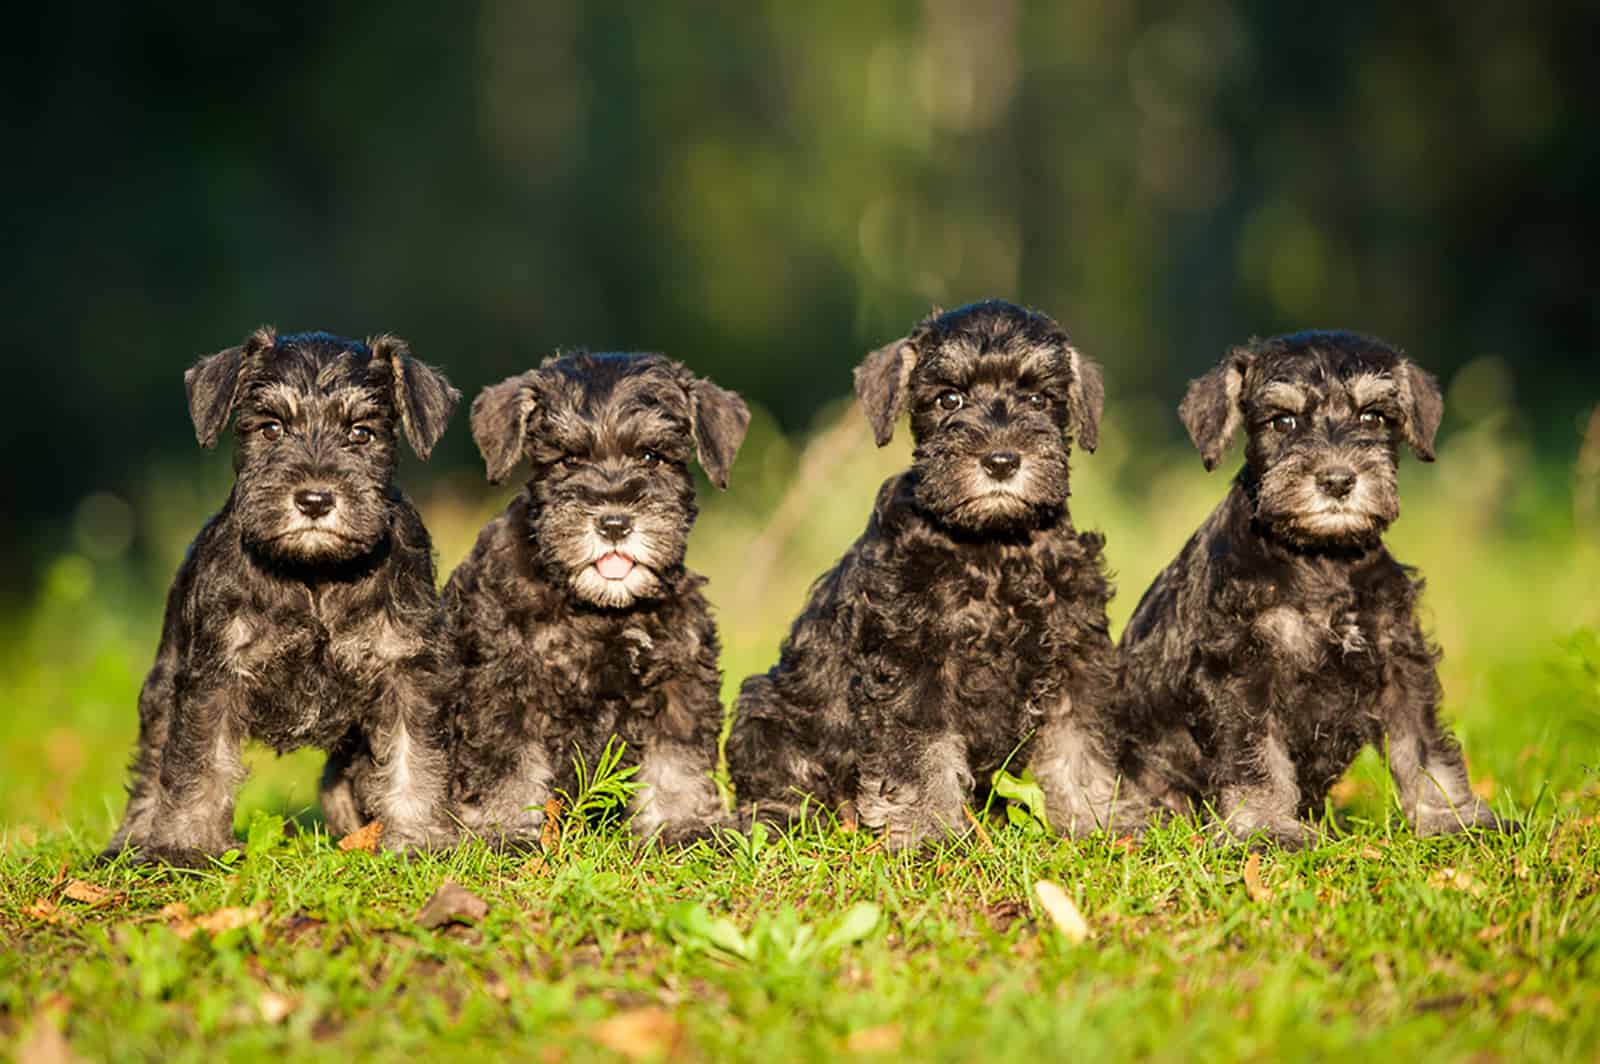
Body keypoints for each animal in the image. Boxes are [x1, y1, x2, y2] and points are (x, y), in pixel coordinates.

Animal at [104, 326, 464, 864]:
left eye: (361, 433)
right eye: (271, 428)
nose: (314, 499)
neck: (315, 575)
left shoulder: (407, 669)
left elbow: (412, 757)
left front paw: (418, 840)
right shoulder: (215, 675)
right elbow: (197, 765)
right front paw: (185, 848)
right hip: (164, 684)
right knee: (152, 767)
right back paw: (129, 843)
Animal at [448, 352, 752, 844]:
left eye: (651, 456)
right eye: (568, 459)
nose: (613, 523)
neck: (604, 609)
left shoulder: (679, 676)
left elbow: (676, 760)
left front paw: (682, 826)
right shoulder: (504, 685)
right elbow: (506, 763)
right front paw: (505, 829)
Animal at [729, 302, 1164, 851]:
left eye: (1040, 399)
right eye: (948, 399)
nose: (1001, 461)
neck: (995, 547)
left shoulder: (1074, 654)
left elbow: (1079, 747)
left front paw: (1100, 820)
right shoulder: (914, 662)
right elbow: (921, 754)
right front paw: (929, 831)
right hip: (766, 706)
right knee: (778, 780)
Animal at [1120, 329, 1504, 844]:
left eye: (1373, 416)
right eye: (1282, 421)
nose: (1338, 480)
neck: (1323, 557)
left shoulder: (1399, 659)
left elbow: (1424, 746)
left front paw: (1452, 817)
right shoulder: (1240, 669)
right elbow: (1256, 755)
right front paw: (1265, 826)